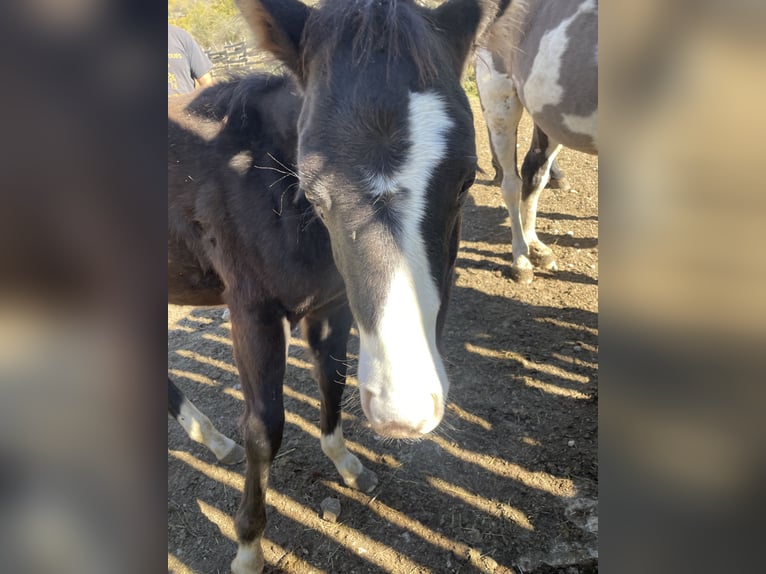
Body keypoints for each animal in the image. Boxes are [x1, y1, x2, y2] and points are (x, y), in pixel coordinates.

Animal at [170, 1, 499, 570]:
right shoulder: (251, 313)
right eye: (314, 189)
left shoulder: (332, 304)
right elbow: (264, 427)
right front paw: (248, 546)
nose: (403, 412)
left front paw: (346, 463)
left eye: (466, 181)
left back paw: (212, 441)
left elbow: (334, 380)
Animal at [475, 0, 598, 283]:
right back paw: (521, 259)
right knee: (511, 184)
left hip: (549, 117)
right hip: (500, 102)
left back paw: (536, 246)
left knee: (534, 174)